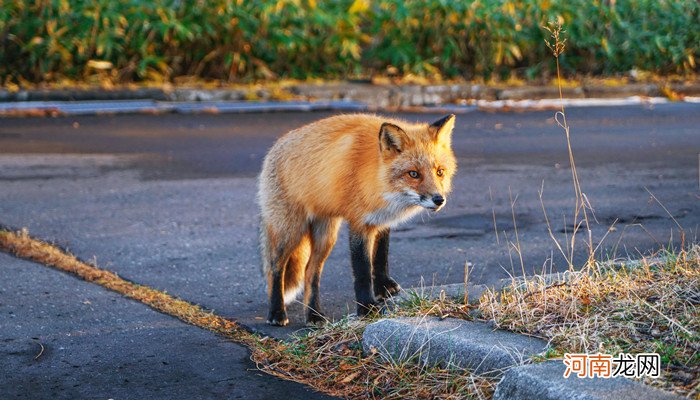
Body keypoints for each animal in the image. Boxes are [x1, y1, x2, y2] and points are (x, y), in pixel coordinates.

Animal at [260, 112, 456, 324]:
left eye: (440, 172)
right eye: (413, 174)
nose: (439, 199)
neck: (378, 180)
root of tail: (275, 146)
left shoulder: (381, 220)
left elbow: (381, 256)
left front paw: (383, 287)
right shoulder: (359, 223)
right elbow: (362, 270)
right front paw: (367, 308)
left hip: (325, 237)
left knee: (310, 272)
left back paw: (314, 314)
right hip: (290, 231)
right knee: (275, 268)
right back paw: (277, 312)